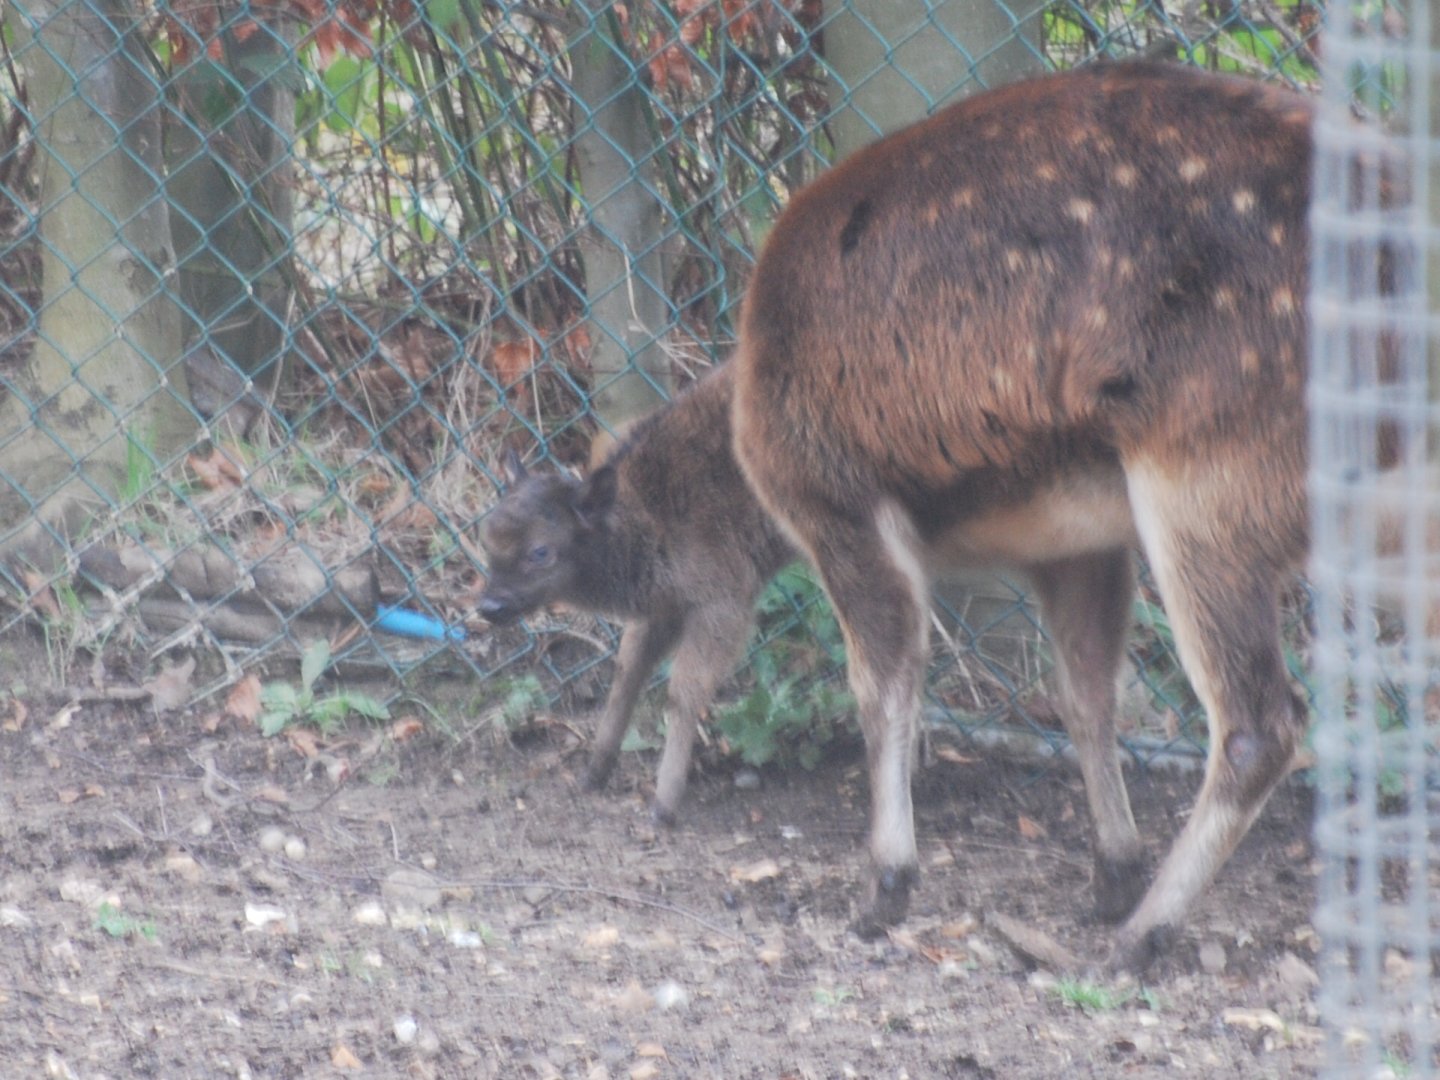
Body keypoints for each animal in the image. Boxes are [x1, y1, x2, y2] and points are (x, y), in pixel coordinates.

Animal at [478, 362, 795, 821]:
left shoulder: (722, 607)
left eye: (541, 551)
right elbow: (626, 676)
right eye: (486, 535)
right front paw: (594, 772)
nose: (490, 605)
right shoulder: (662, 610)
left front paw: (664, 804)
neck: (648, 511)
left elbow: (683, 693)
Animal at [731, 59, 1335, 968]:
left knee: (1261, 721)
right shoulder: (1078, 543)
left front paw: (883, 890)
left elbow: (883, 687)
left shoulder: (843, 507)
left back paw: (1142, 936)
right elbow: (1085, 691)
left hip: (1207, 482)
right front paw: (1111, 869)